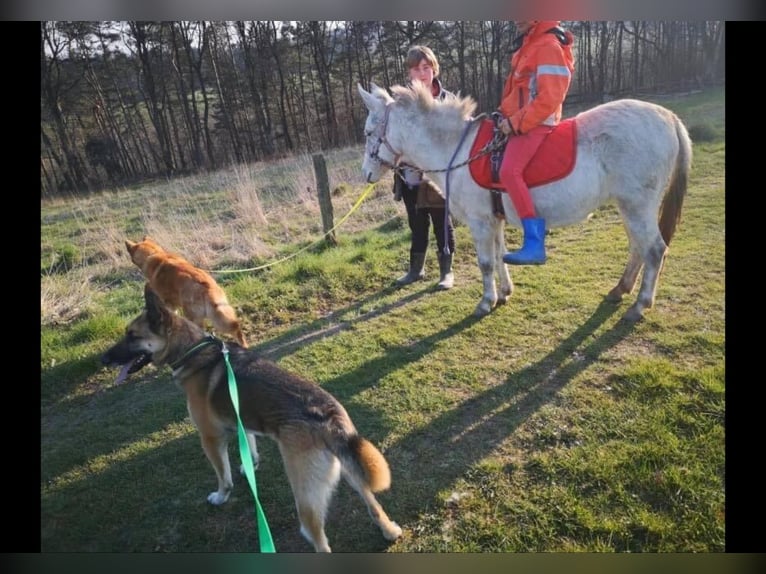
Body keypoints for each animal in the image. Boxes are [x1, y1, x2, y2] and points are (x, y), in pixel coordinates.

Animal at [100, 286, 404, 556]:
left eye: (132, 335)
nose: (103, 359)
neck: (193, 350)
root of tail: (326, 415)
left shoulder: (210, 439)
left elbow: (223, 476)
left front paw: (221, 495)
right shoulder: (241, 421)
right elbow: (250, 447)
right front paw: (250, 466)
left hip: (305, 494)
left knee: (317, 537)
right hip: (353, 471)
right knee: (374, 506)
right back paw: (390, 530)